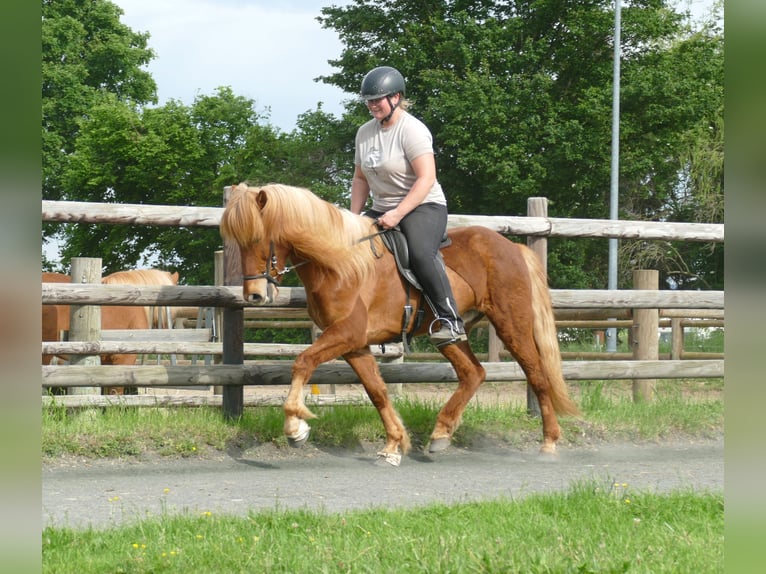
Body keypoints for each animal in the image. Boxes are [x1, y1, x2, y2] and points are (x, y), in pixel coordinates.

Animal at [219, 184, 580, 468]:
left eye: (259, 239)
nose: (253, 295)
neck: (339, 264)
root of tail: (513, 247)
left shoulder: (346, 334)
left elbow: (303, 361)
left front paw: (296, 427)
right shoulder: (354, 344)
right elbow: (377, 391)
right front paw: (394, 445)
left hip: (511, 324)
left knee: (537, 374)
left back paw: (549, 443)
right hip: (448, 334)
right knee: (473, 373)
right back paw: (440, 433)